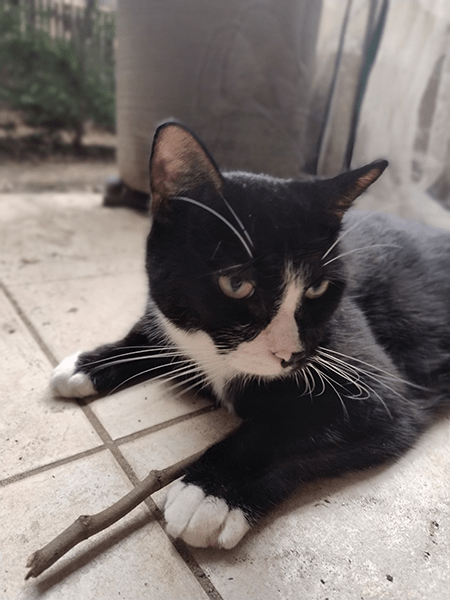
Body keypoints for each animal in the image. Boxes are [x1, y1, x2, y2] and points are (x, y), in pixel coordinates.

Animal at [49, 120, 450, 548]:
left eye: (318, 288)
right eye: (237, 284)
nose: (291, 355)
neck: (216, 357)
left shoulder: (379, 390)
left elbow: (287, 426)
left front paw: (209, 492)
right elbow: (155, 333)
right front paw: (88, 364)